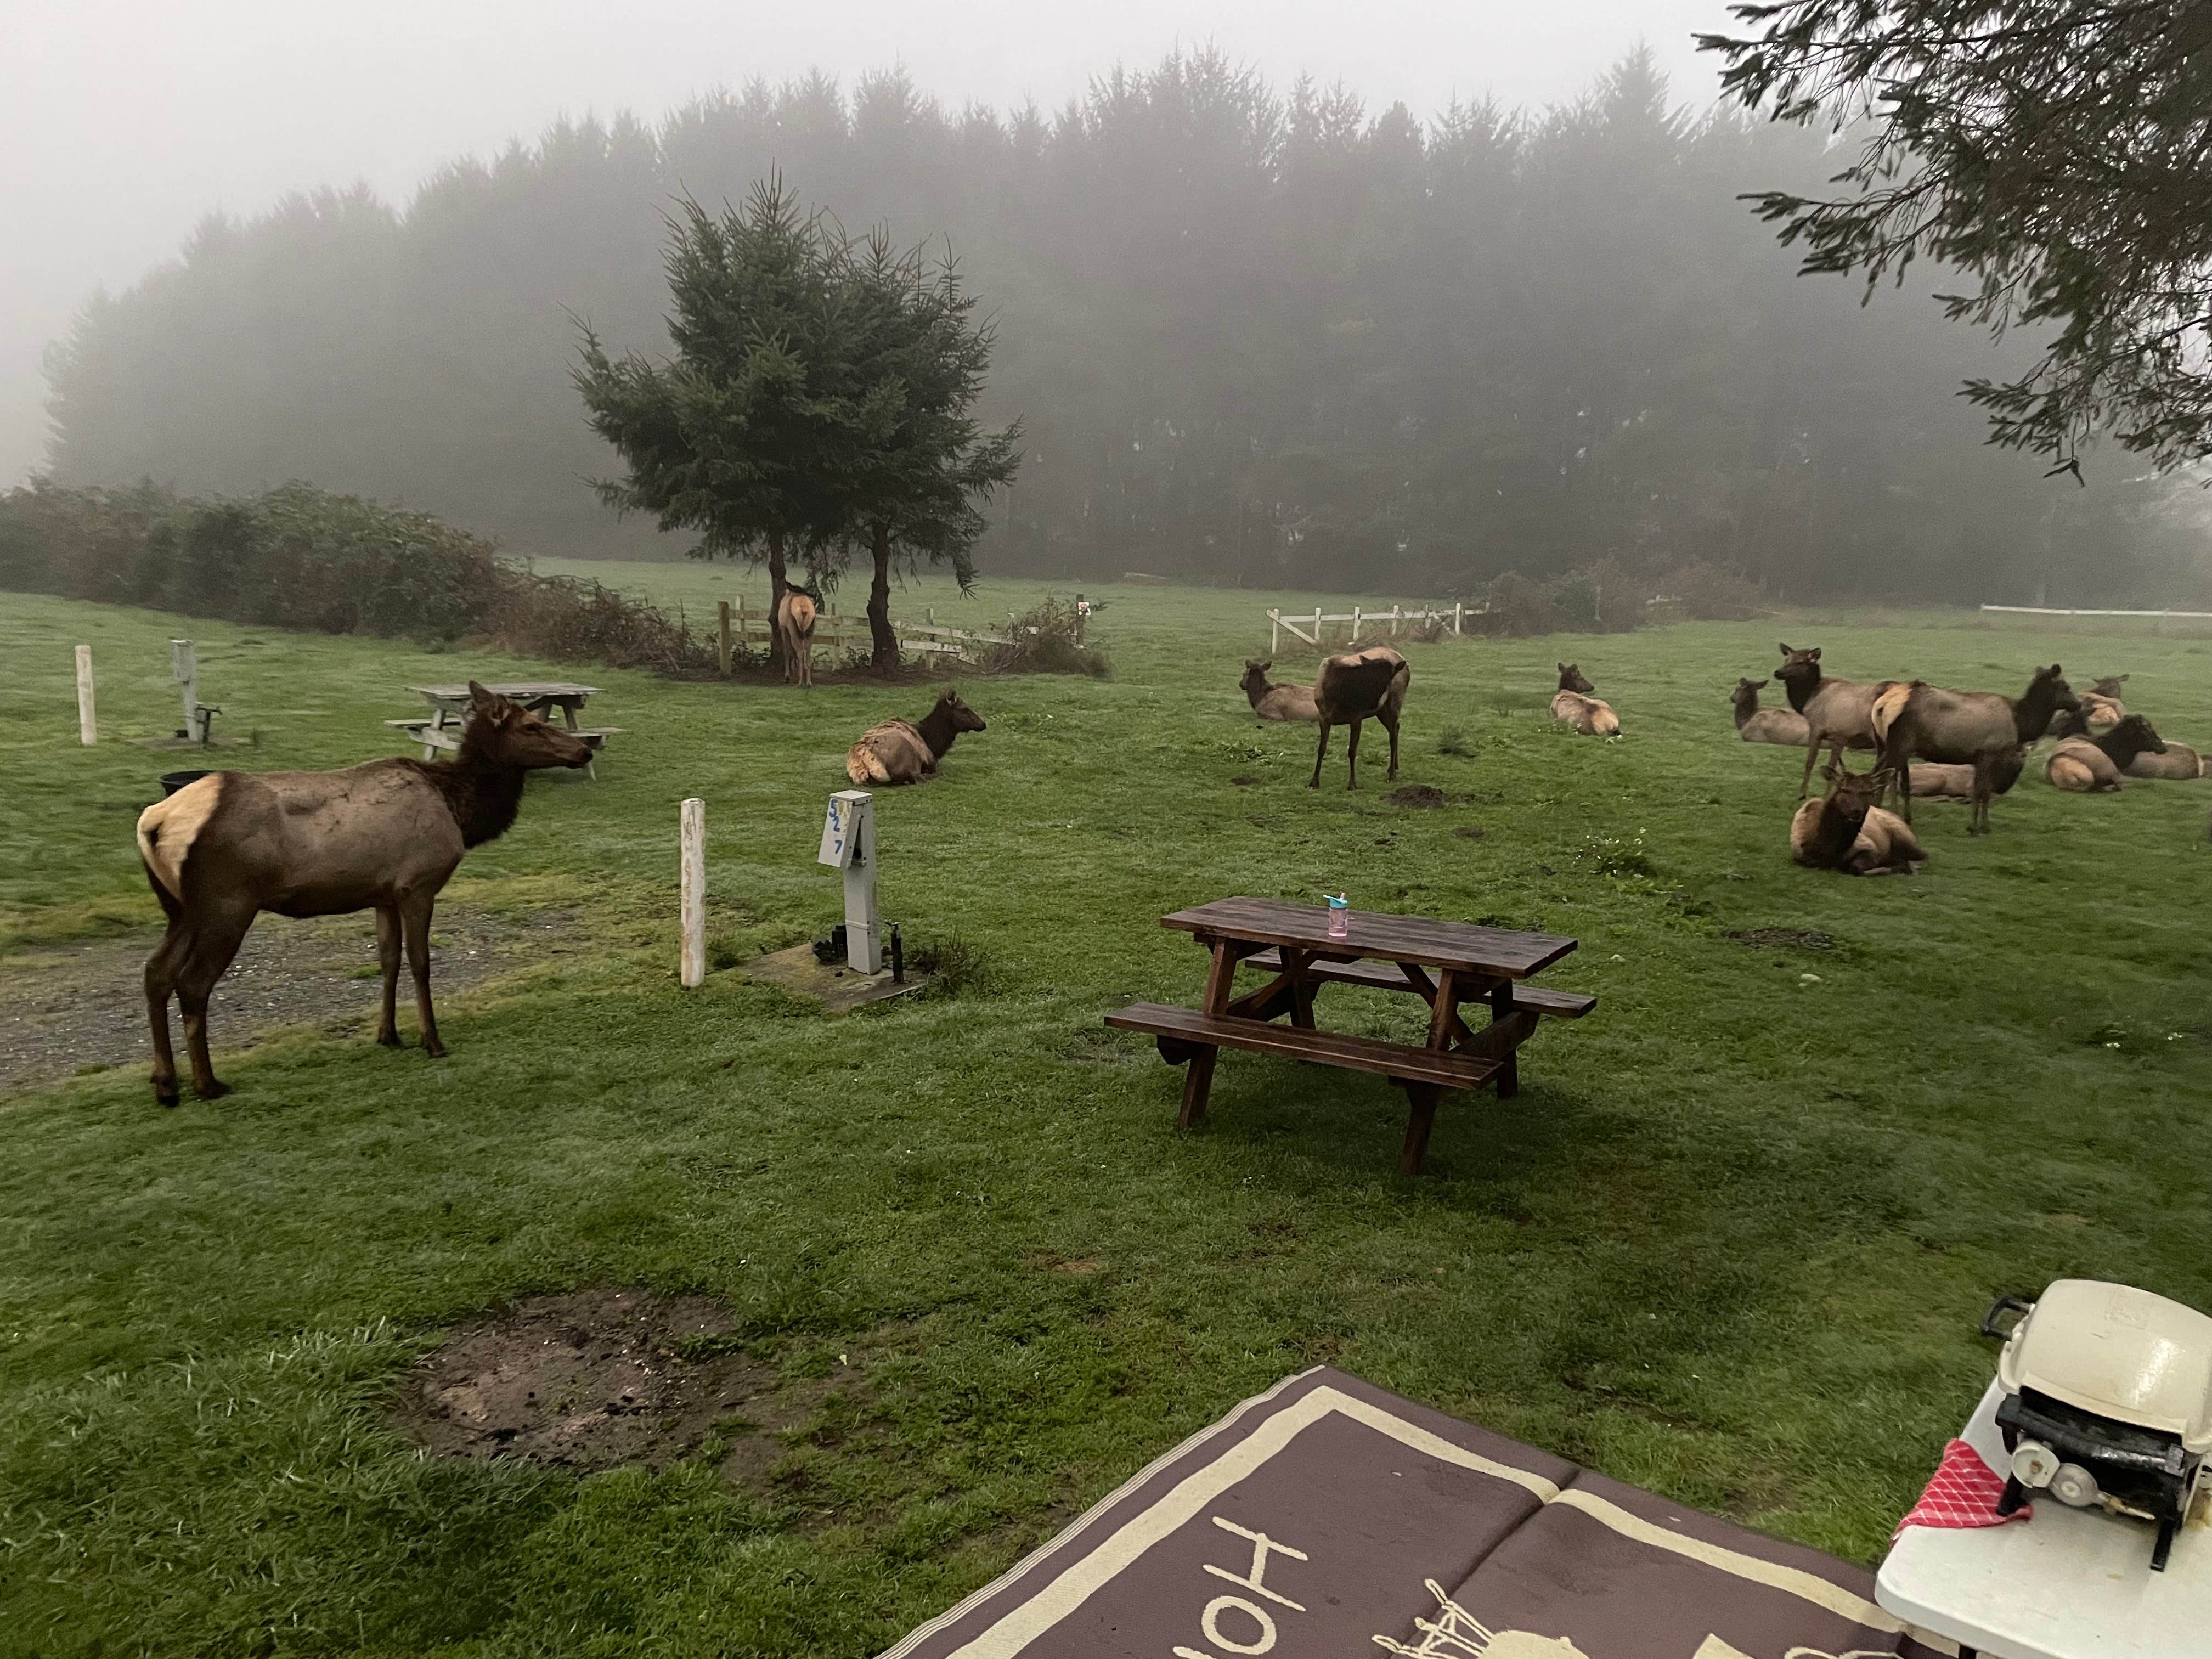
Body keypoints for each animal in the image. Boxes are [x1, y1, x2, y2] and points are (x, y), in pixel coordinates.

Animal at [133, 683, 591, 1106]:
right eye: (531, 726)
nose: (585, 750)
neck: (459, 811)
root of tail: (153, 821)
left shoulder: (383, 894)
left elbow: (388, 961)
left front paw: (388, 1034)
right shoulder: (417, 884)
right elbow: (420, 963)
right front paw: (432, 1041)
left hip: (181, 909)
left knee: (156, 972)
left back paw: (166, 1084)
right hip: (227, 904)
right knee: (192, 983)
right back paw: (207, 1084)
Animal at [776, 585, 820, 687]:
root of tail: (804, 608)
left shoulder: (783, 628)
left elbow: (787, 651)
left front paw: (788, 676)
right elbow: (793, 652)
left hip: (793, 628)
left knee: (799, 652)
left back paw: (800, 682)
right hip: (810, 631)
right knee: (807, 654)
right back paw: (808, 682)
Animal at [845, 688, 987, 785]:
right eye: (964, 709)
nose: (983, 724)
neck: (933, 744)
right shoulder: (931, 760)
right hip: (909, 755)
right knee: (920, 777)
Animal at [1309, 645, 1409, 788]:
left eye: (1387, 680)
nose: (1374, 702)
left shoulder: (1357, 717)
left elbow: (1352, 751)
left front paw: (1352, 783)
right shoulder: (1323, 717)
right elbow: (1321, 749)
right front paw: (1314, 782)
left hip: (1393, 703)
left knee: (1393, 734)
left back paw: (1392, 775)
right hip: (1382, 711)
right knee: (1396, 728)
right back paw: (1394, 767)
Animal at [1869, 665, 2076, 835]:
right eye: (2066, 687)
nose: (2078, 704)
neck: (2021, 723)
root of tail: (1881, 705)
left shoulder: (1978, 758)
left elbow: (1980, 791)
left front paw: (1977, 826)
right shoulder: (1989, 752)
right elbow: (1982, 792)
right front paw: (1979, 828)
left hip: (1885, 745)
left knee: (1878, 774)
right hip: (1900, 744)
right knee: (1885, 777)